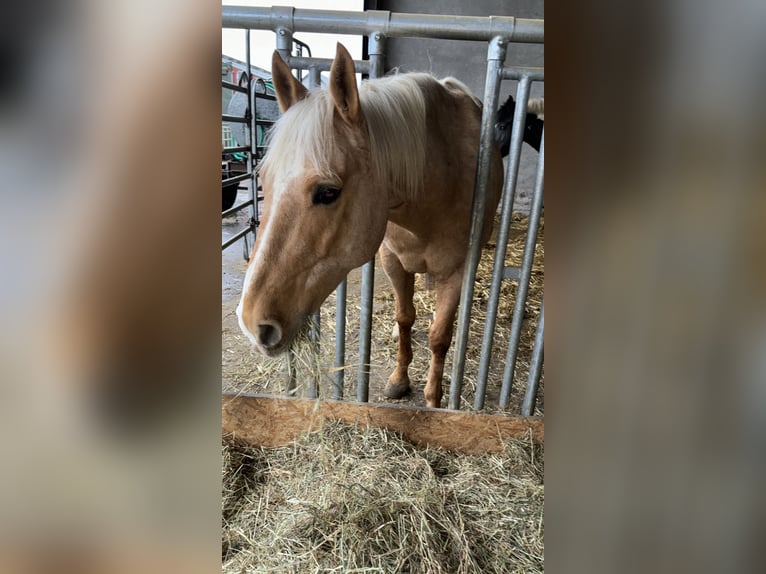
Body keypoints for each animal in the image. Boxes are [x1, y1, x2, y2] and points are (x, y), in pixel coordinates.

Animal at [237, 43, 504, 408]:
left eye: (328, 192)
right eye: (263, 180)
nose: (252, 324)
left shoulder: (457, 271)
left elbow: (439, 336)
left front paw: (434, 399)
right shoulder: (392, 260)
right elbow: (405, 318)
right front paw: (399, 380)